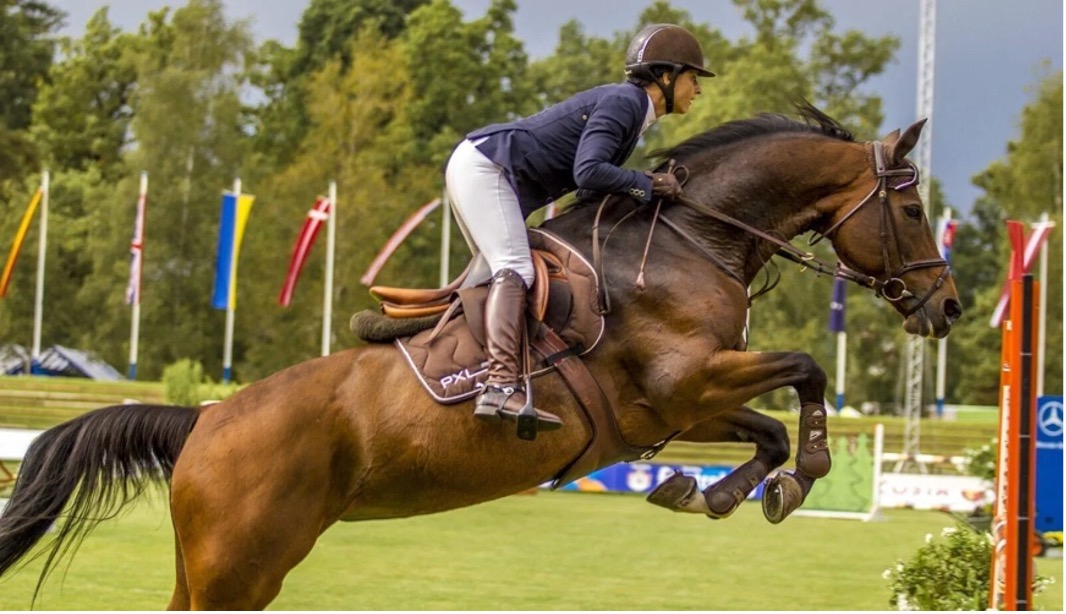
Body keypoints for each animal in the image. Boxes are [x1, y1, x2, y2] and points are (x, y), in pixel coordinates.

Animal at [0, 102, 961, 609]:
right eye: (914, 212)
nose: (948, 307)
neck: (692, 239)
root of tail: (199, 423)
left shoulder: (677, 403)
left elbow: (765, 427)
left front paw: (720, 492)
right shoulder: (683, 384)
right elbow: (808, 369)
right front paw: (806, 473)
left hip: (214, 565)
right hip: (242, 565)